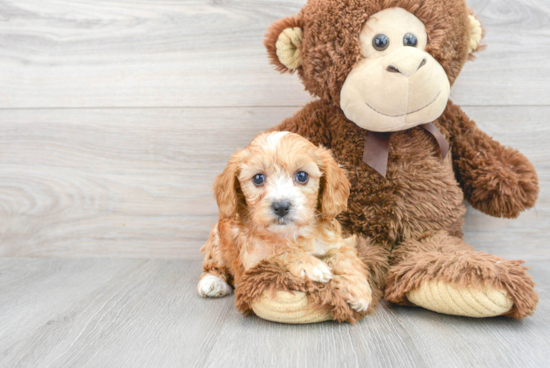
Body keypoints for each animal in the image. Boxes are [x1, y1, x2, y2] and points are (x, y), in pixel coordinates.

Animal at [196, 131, 374, 312]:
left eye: (302, 176)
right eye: (258, 178)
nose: (281, 206)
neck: (291, 232)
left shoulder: (337, 241)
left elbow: (345, 257)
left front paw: (358, 290)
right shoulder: (255, 256)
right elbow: (280, 250)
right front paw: (311, 266)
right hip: (217, 242)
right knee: (212, 265)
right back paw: (212, 282)